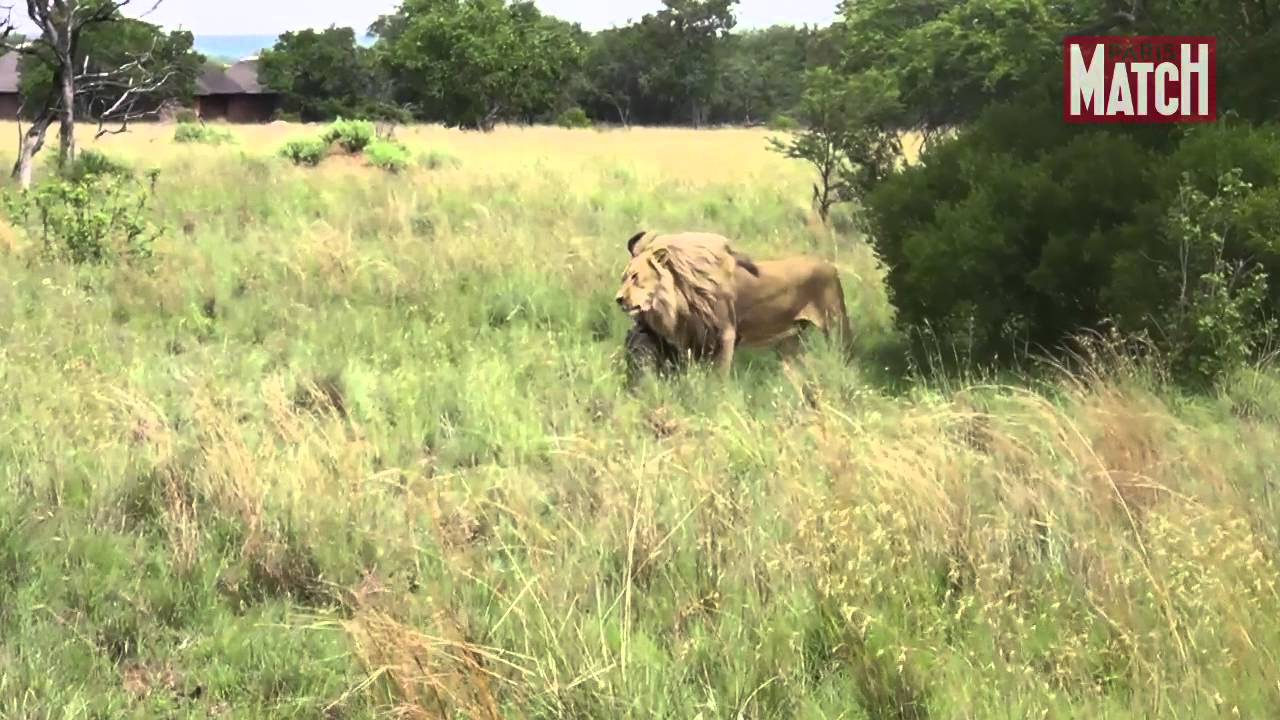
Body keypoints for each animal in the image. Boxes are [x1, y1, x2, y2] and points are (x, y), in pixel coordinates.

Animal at [615, 230, 854, 378]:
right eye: (623, 277)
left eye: (635, 277)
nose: (618, 299)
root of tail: (830, 265)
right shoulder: (694, 341)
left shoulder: (726, 335)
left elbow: (719, 376)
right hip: (790, 339)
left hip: (836, 326)